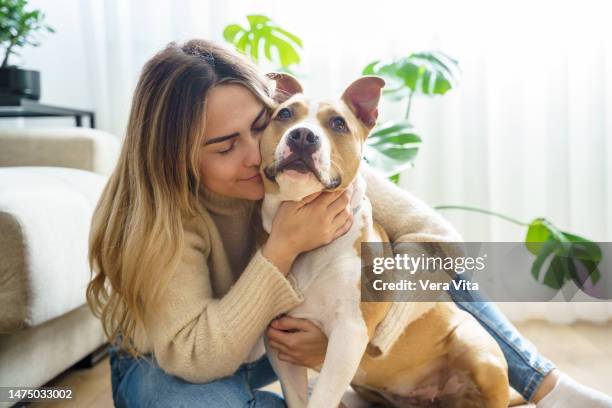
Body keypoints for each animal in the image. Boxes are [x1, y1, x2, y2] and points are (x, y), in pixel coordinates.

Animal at [260, 74, 510, 408]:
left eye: (338, 123)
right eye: (285, 114)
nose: (302, 135)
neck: (310, 243)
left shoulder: (348, 333)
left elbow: (322, 398)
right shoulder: (278, 340)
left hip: (478, 353)